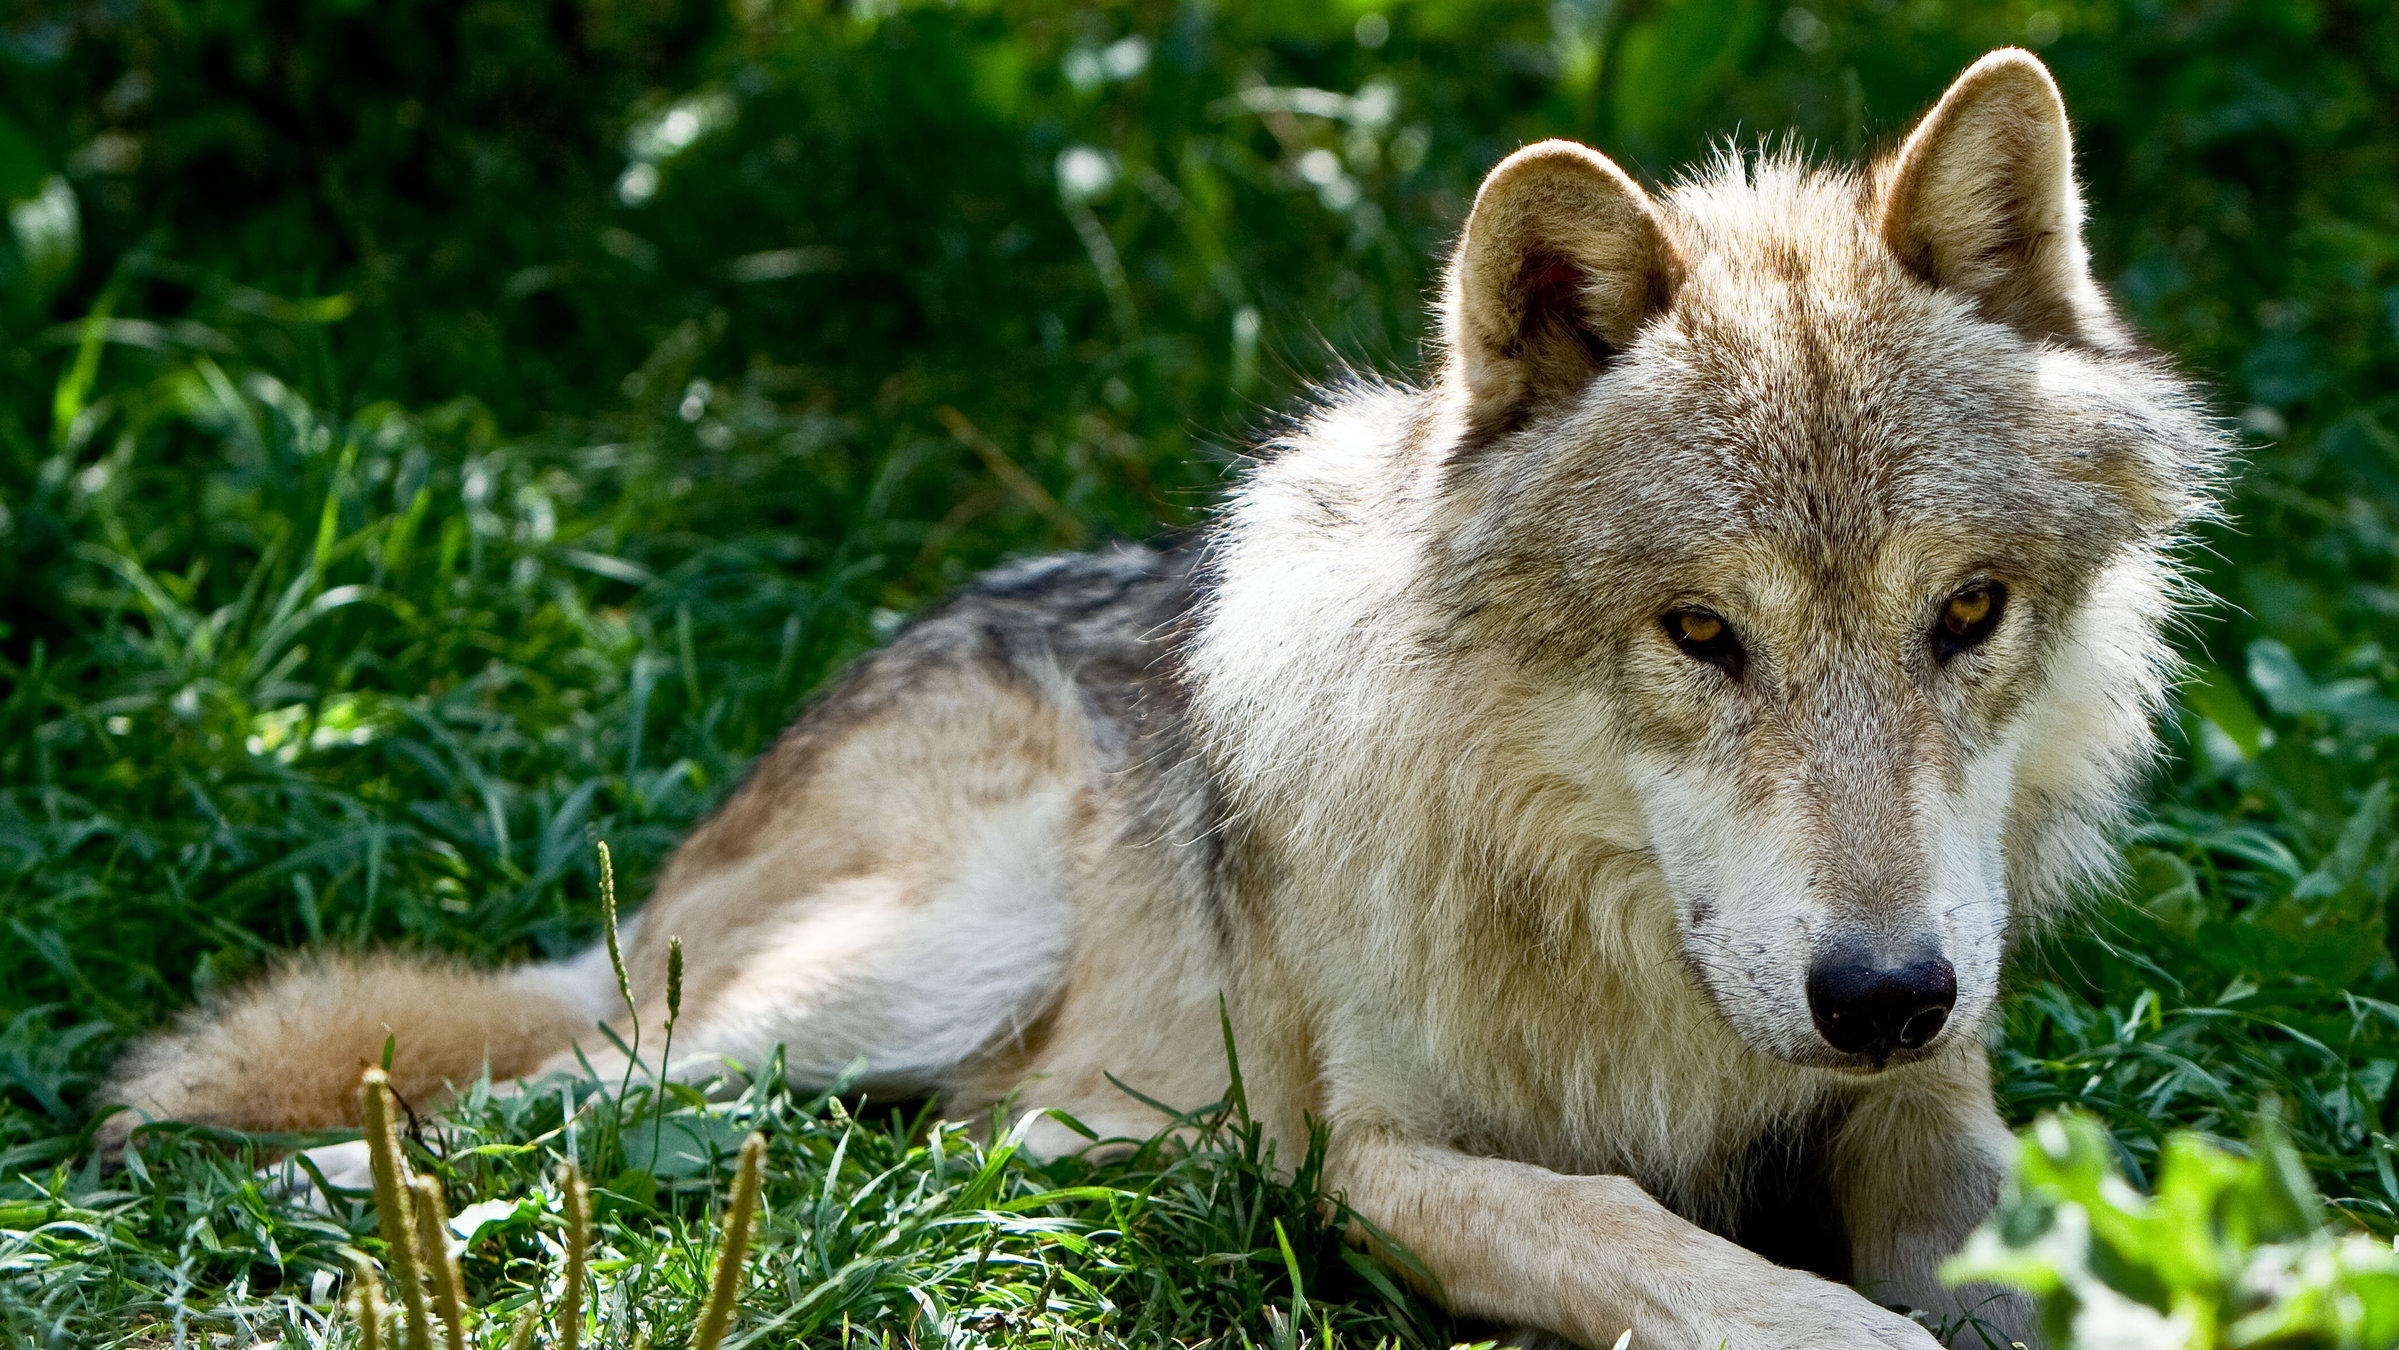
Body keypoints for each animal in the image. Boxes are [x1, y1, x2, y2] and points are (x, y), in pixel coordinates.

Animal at [101, 49, 2221, 1349]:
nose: (1878, 992)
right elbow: (1661, 1253)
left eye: (1964, 613)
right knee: (524, 1102)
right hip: (898, 965)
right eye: (1699, 636)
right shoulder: (1377, 1160)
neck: (1629, 970)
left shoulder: (1931, 1096)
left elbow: (2039, 1235)